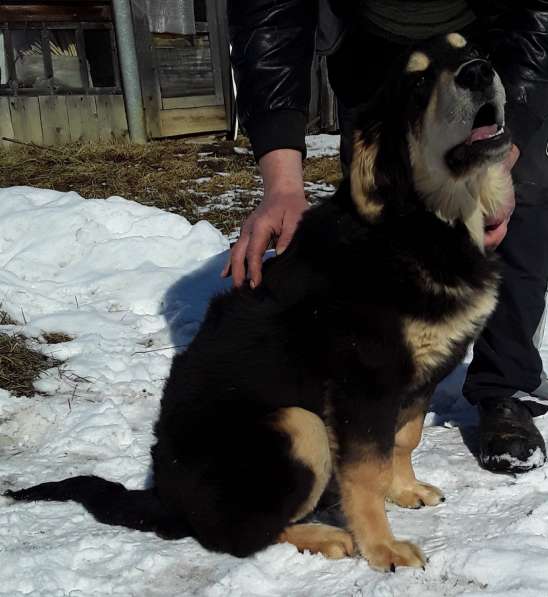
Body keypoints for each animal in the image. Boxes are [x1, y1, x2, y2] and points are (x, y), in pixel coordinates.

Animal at [6, 33, 512, 572]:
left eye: (471, 49)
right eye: (416, 84)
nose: (480, 71)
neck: (422, 222)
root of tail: (166, 499)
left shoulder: (421, 375)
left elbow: (405, 438)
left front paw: (406, 490)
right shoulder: (363, 385)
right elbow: (365, 472)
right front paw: (382, 547)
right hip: (299, 425)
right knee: (239, 535)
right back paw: (324, 535)